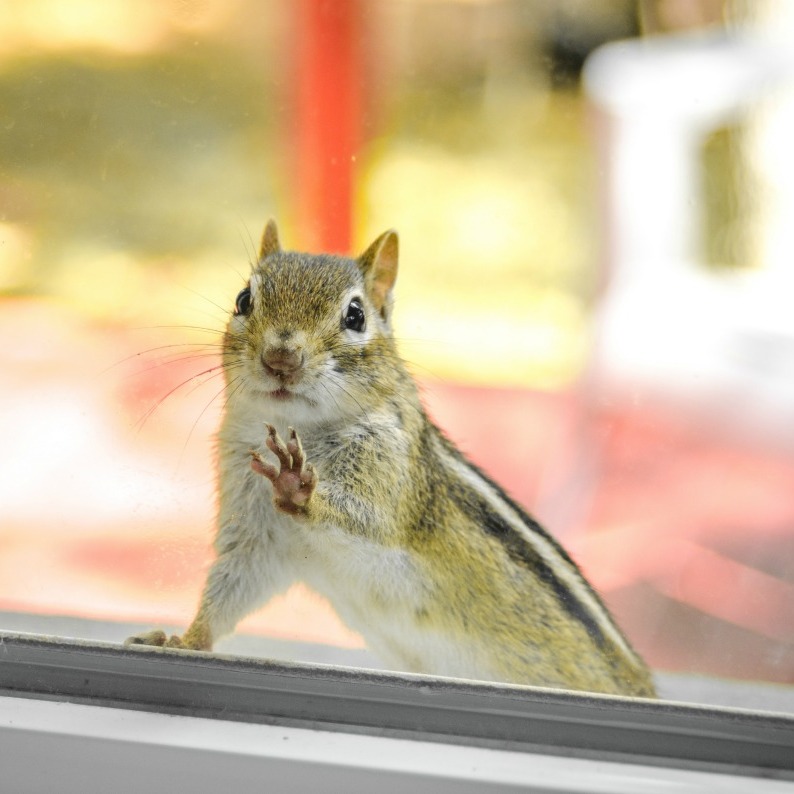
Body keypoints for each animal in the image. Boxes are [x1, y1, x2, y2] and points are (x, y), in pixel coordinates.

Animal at [126, 219, 657, 698]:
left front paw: (299, 485)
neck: (302, 429)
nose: (281, 358)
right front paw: (186, 640)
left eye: (355, 316)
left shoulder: (390, 471)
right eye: (243, 300)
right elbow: (232, 586)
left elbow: (369, 519)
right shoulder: (257, 529)